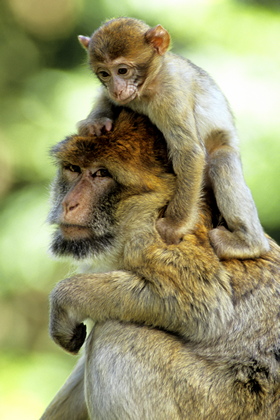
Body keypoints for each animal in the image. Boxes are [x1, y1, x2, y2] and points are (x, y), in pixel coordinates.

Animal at [41, 110, 280, 418]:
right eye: (73, 169)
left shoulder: (155, 234)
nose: (69, 203)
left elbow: (203, 306)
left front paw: (64, 299)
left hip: (220, 401)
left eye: (101, 174)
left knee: (116, 333)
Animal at [77, 17, 270, 260]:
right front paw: (96, 122)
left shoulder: (170, 95)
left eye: (122, 70)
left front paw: (172, 226)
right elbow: (105, 98)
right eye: (104, 74)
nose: (117, 89)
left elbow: (189, 152)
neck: (150, 83)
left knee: (221, 160)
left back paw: (249, 244)